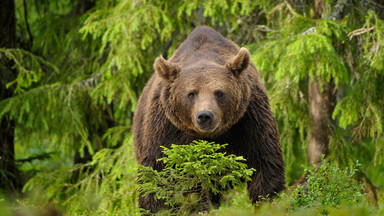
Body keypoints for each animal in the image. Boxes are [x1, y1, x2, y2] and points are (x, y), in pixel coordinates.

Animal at [133, 25, 284, 213]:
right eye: (191, 93)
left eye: (219, 92)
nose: (204, 115)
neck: (210, 137)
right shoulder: (166, 129)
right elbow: (157, 173)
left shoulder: (249, 119)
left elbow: (264, 161)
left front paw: (268, 202)